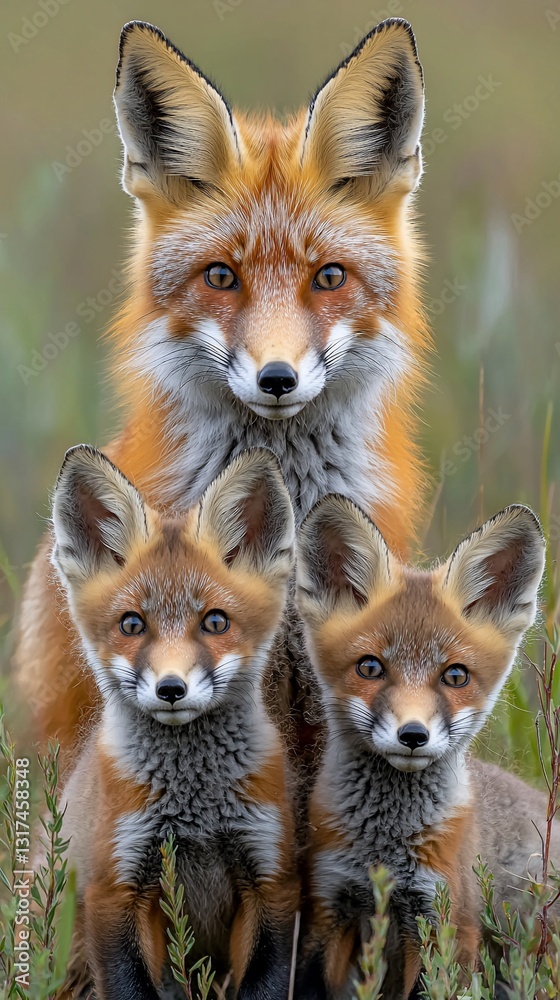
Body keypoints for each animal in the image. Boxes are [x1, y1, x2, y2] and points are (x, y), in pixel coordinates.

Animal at [49, 445, 299, 1000]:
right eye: (131, 624)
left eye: (215, 622)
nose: (170, 689)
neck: (195, 809)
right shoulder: (115, 888)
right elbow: (131, 985)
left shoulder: (271, 881)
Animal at [293, 495, 557, 999]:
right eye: (370, 667)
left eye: (455, 675)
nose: (413, 735)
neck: (385, 847)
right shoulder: (329, 904)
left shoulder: (445, 920)